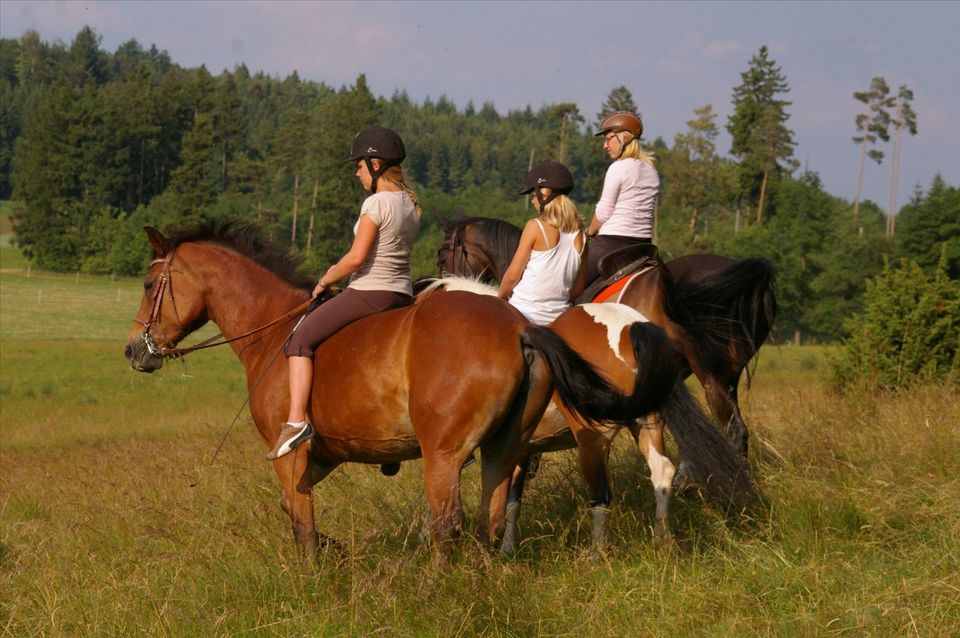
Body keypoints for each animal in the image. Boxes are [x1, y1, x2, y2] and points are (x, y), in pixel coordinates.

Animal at [125, 222, 660, 568]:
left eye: (149, 284)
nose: (133, 350)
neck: (273, 331)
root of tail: (520, 329)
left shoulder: (290, 455)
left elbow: (298, 518)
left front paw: (311, 574)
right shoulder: (324, 455)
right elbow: (296, 510)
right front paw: (334, 551)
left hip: (445, 454)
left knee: (449, 521)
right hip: (504, 449)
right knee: (490, 515)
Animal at [420, 280, 756, 556]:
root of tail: (631, 325)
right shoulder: (522, 451)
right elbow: (512, 501)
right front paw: (506, 551)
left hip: (593, 440)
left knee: (601, 496)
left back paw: (597, 555)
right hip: (647, 424)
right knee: (662, 473)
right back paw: (663, 541)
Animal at [438, 216, 776, 460]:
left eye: (443, 254)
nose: (444, 282)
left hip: (709, 376)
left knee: (729, 431)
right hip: (722, 375)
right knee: (730, 433)